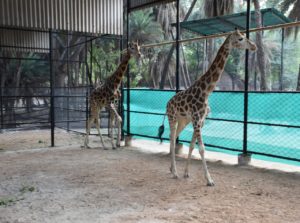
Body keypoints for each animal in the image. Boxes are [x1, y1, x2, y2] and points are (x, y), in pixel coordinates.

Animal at [158, 29, 256, 186]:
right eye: (241, 38)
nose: (254, 46)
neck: (206, 91)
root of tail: (167, 103)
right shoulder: (197, 120)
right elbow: (202, 149)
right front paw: (209, 180)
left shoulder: (200, 121)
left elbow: (192, 146)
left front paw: (187, 173)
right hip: (172, 118)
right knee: (172, 138)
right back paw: (174, 173)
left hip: (183, 120)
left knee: (172, 137)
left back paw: (173, 169)